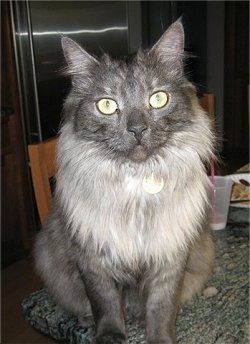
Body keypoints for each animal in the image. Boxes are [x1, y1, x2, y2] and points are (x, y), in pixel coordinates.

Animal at [34, 19, 215, 344]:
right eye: (107, 105)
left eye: (158, 99)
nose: (138, 130)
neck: (137, 183)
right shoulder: (93, 258)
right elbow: (104, 305)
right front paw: (110, 336)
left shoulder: (170, 257)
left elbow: (161, 308)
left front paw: (160, 338)